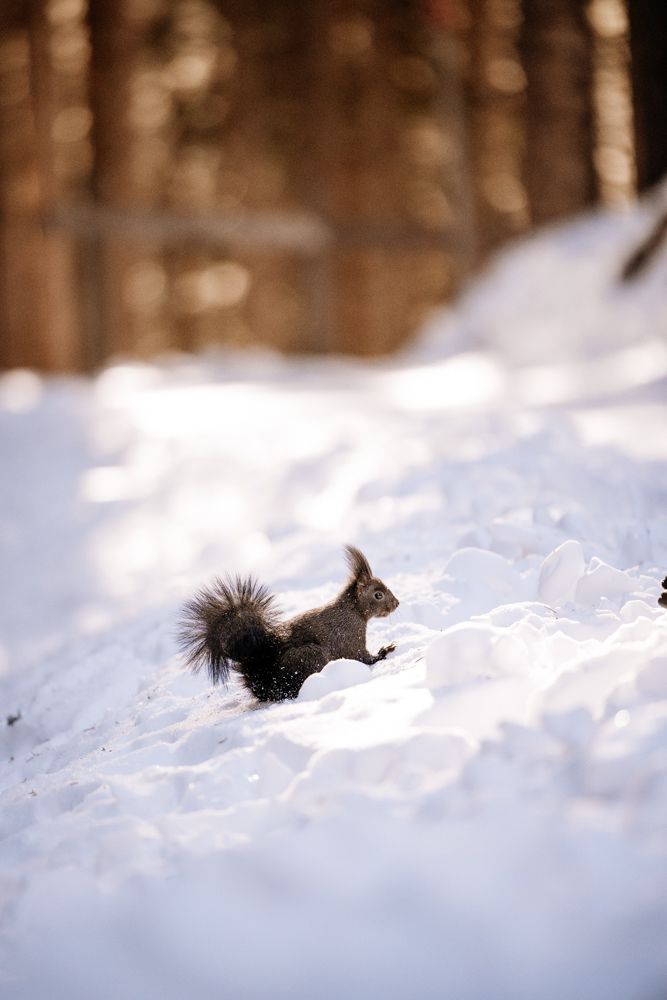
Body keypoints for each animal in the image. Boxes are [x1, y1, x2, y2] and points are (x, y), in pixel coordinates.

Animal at [177, 545, 399, 702]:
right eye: (378, 594)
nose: (397, 603)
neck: (353, 611)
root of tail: (267, 683)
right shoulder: (348, 637)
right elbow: (362, 657)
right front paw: (383, 652)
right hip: (311, 656)